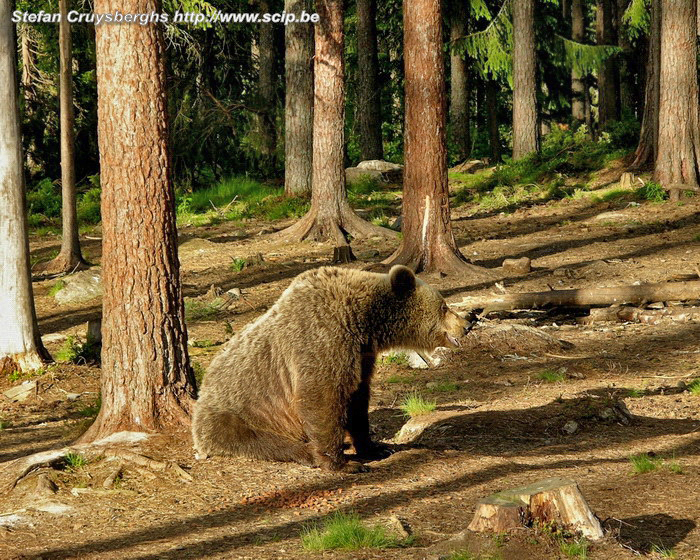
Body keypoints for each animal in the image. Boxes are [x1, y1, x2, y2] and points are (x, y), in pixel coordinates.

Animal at [189, 264, 468, 470]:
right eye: (444, 306)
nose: (467, 324)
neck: (364, 321)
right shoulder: (322, 338)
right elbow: (321, 397)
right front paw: (342, 463)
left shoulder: (360, 354)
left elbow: (357, 398)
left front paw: (376, 447)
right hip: (237, 413)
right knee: (260, 441)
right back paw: (306, 453)